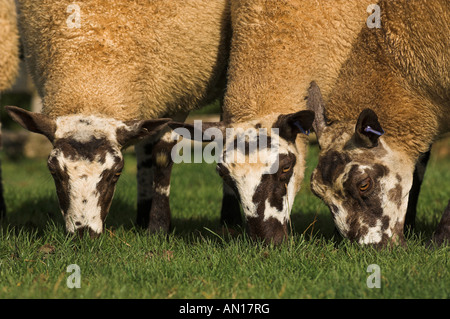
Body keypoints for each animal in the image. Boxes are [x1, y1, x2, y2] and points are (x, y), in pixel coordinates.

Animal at [6, 0, 232, 239]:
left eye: (116, 173)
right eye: (53, 171)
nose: (84, 232)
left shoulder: (177, 96)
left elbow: (162, 157)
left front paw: (158, 228)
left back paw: (228, 219)